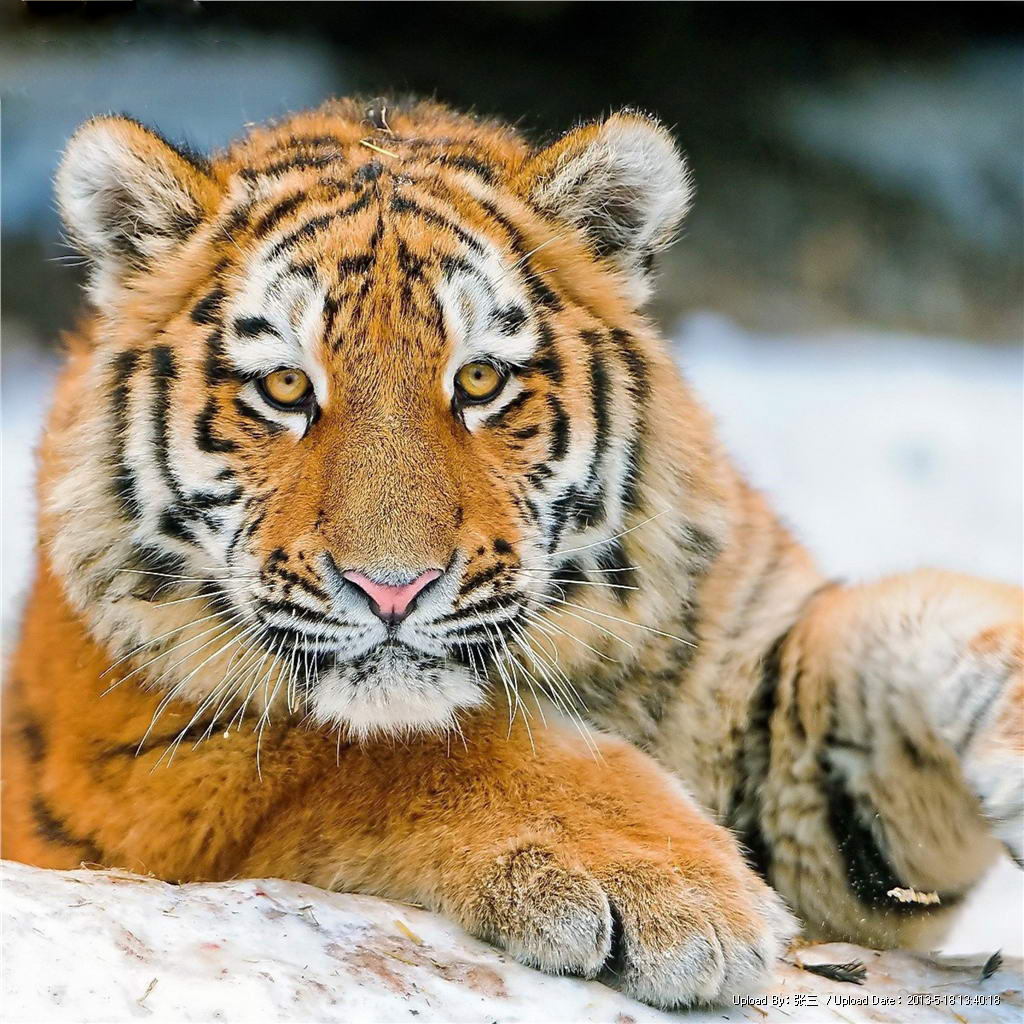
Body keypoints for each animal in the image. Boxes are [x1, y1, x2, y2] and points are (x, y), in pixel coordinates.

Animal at [3, 98, 1021, 1011]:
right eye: (286, 387)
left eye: (481, 380)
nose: (391, 589)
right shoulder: (145, 765)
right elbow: (395, 749)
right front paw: (668, 888)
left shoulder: (777, 712)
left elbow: (920, 629)